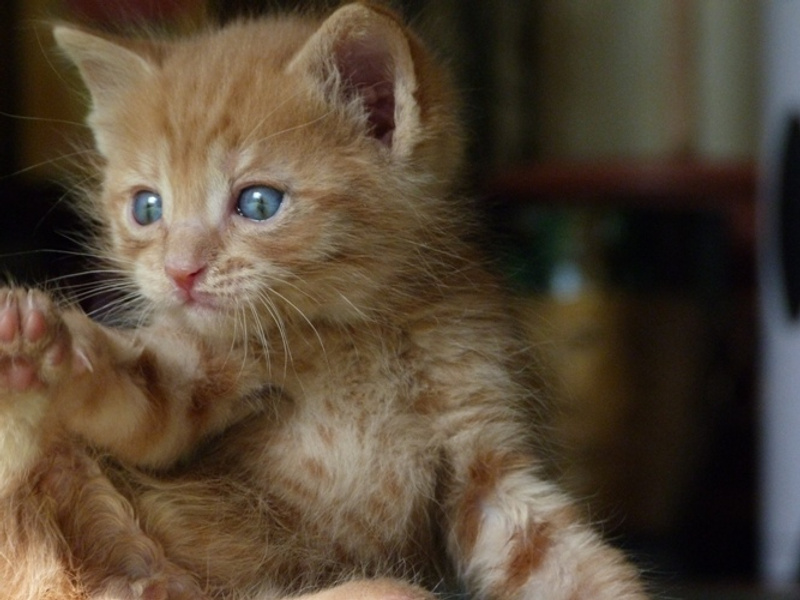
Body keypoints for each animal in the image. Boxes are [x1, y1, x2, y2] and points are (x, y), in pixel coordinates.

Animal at [0, 2, 648, 599]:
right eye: (147, 207)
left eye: (258, 203)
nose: (180, 272)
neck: (353, 333)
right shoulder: (192, 373)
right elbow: (141, 400)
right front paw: (49, 347)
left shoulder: (485, 457)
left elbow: (564, 560)